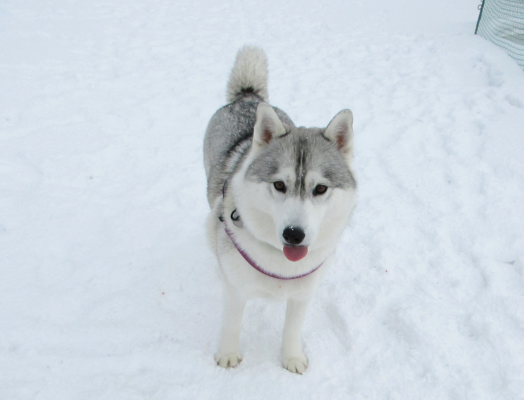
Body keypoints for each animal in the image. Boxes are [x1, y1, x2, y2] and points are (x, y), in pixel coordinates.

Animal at [204, 46, 357, 374]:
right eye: (279, 185)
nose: (294, 234)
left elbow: (292, 328)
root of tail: (248, 97)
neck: (281, 266)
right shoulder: (236, 288)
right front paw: (227, 355)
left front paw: (292, 358)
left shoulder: (303, 292)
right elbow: (231, 323)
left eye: (320, 188)